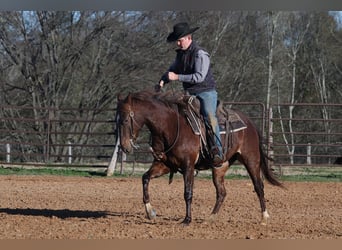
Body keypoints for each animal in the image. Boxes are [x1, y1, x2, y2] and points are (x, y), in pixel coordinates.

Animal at [116, 90, 284, 227]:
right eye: (116, 120)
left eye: (125, 120)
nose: (124, 147)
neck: (170, 126)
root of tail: (249, 123)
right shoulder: (165, 165)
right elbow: (145, 178)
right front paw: (150, 212)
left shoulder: (188, 166)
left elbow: (188, 193)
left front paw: (186, 220)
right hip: (220, 167)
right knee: (221, 192)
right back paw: (210, 218)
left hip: (251, 160)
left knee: (259, 186)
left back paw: (264, 217)